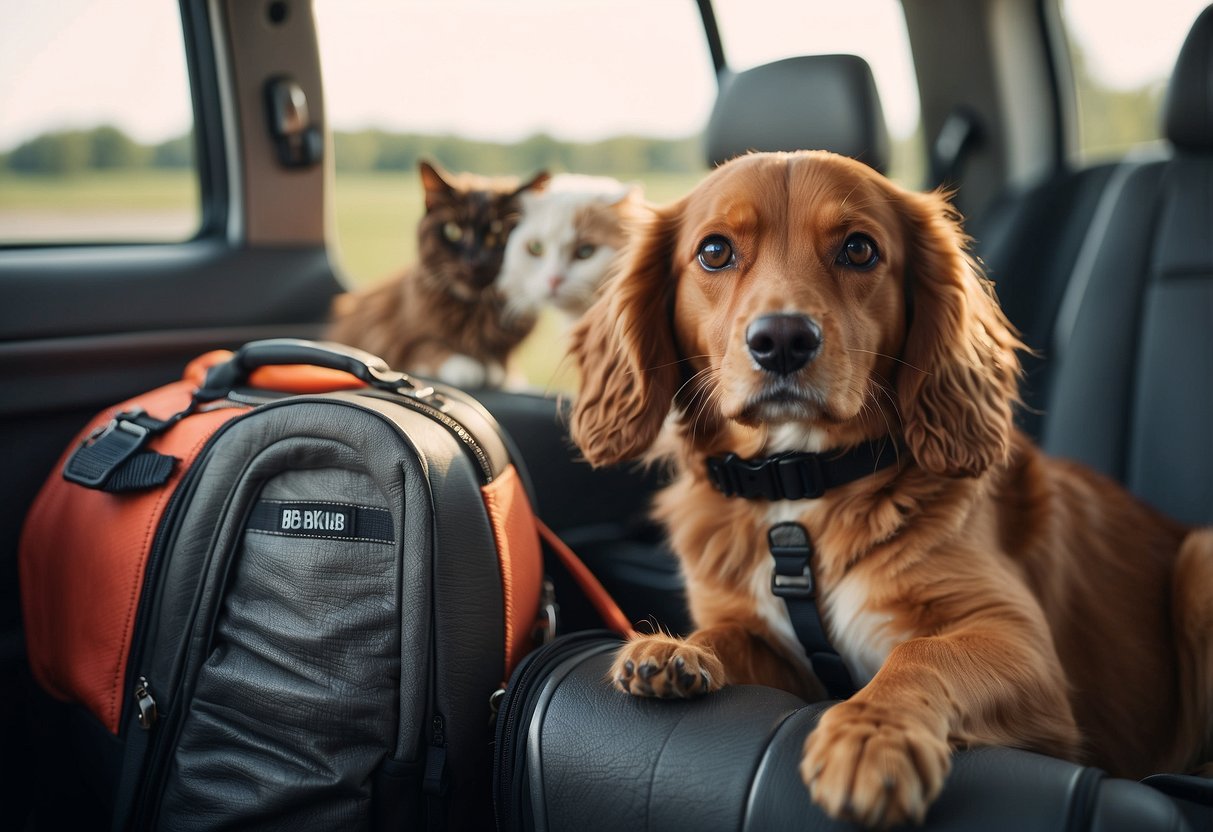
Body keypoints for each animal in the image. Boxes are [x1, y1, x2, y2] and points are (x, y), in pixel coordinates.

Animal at [325, 160, 548, 388]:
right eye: (452, 231)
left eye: (499, 234)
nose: (474, 260)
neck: (475, 312)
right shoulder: (393, 340)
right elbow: (428, 346)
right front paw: (467, 366)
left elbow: (502, 358)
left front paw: (499, 370)